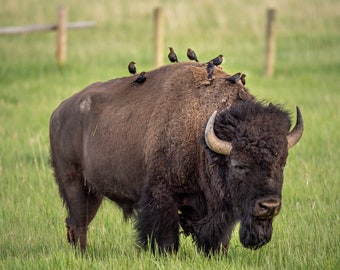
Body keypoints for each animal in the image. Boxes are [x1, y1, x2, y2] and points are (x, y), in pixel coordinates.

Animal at [48, 61, 302, 253]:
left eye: (282, 163)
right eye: (239, 165)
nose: (269, 206)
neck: (200, 135)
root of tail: (59, 112)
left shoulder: (219, 210)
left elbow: (218, 240)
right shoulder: (162, 197)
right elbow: (166, 238)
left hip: (93, 192)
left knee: (76, 222)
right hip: (74, 183)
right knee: (79, 222)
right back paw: (82, 254)